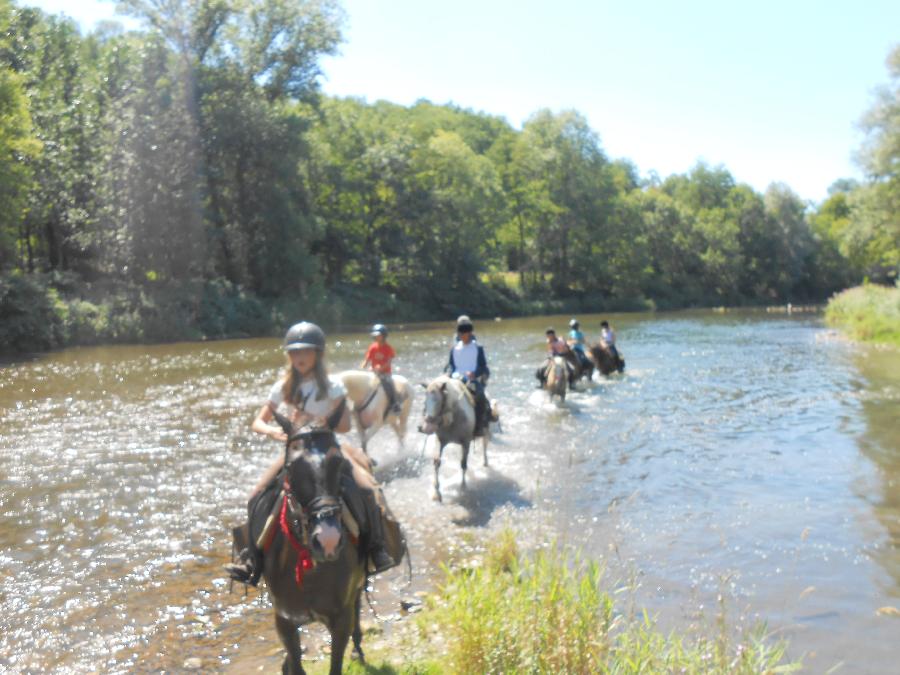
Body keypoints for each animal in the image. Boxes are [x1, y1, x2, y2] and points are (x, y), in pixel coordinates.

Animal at [260, 418, 370, 675]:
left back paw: (358, 649)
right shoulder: (284, 620)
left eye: (339, 462)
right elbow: (295, 662)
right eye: (290, 467)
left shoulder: (341, 619)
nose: (328, 540)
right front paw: (286, 665)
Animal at [414, 374, 486, 502]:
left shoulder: (466, 442)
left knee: (484, 446)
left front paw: (463, 487)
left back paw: (485, 462)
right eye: (425, 401)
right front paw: (437, 493)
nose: (426, 427)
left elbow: (463, 463)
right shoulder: (440, 440)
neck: (453, 418)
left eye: (438, 400)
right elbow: (437, 461)